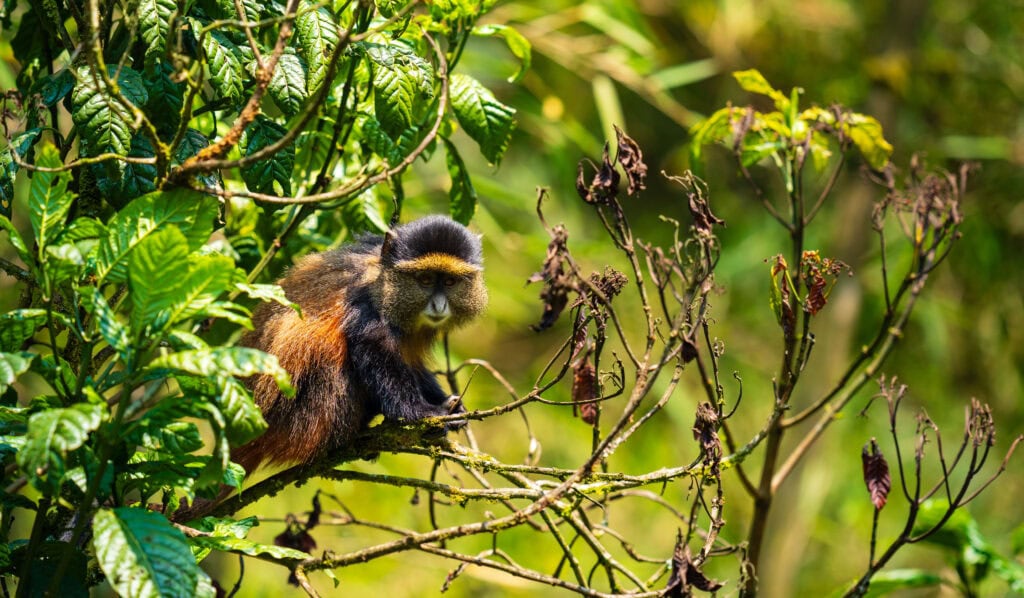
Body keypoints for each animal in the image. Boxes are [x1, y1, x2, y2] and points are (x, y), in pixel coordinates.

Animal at [231, 215, 487, 474]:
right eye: (425, 280)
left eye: (450, 281)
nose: (439, 306)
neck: (384, 279)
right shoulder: (366, 304)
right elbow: (374, 351)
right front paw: (422, 413)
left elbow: (411, 362)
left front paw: (452, 405)